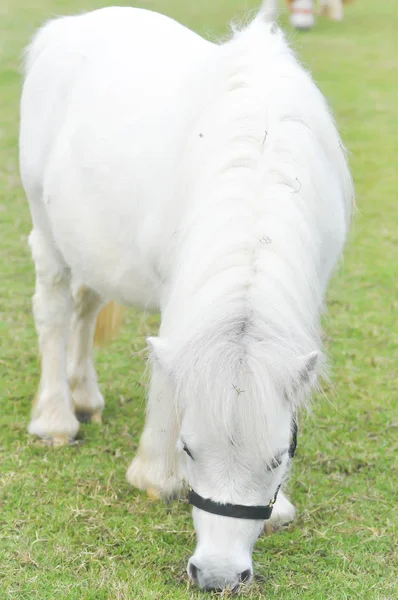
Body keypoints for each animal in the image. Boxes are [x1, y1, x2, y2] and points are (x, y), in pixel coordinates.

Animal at [20, 3, 352, 592]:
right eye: (189, 449)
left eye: (279, 459)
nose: (217, 574)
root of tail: (65, 27)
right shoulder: (180, 289)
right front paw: (155, 475)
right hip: (46, 226)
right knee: (55, 310)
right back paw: (57, 418)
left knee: (84, 306)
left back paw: (85, 396)